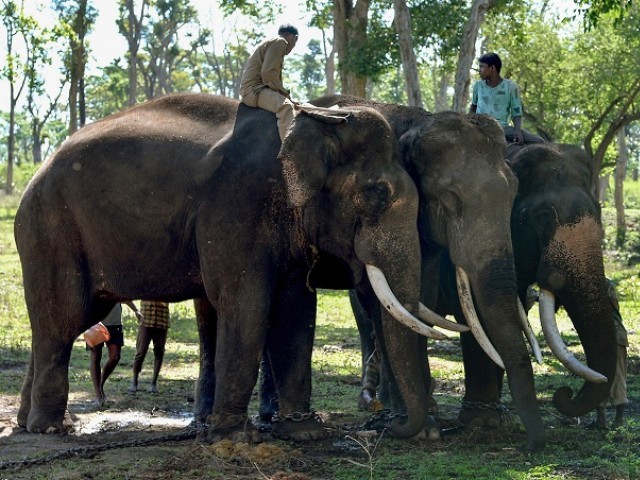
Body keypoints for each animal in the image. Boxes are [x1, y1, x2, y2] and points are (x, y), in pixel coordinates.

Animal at [13, 92, 430, 440]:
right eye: (378, 194)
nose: (387, 427)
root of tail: (35, 174)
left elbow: (296, 311)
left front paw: (305, 432)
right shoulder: (235, 206)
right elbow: (246, 305)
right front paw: (235, 437)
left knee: (60, 323)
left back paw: (31, 423)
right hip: (51, 231)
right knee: (64, 319)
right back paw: (51, 428)